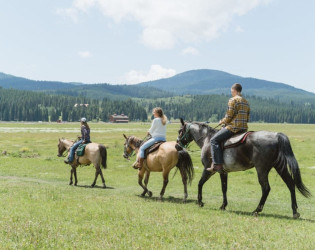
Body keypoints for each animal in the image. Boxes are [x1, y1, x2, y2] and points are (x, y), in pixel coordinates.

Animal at [177, 118, 312, 218]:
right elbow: (224, 188)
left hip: (262, 169)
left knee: (266, 188)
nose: (177, 145)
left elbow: (200, 183)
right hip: (280, 167)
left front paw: (200, 202)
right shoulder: (223, 172)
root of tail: (276, 135)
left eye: (180, 131)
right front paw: (223, 205)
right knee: (290, 184)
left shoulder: (208, 169)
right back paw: (295, 212)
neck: (207, 139)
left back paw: (256, 210)